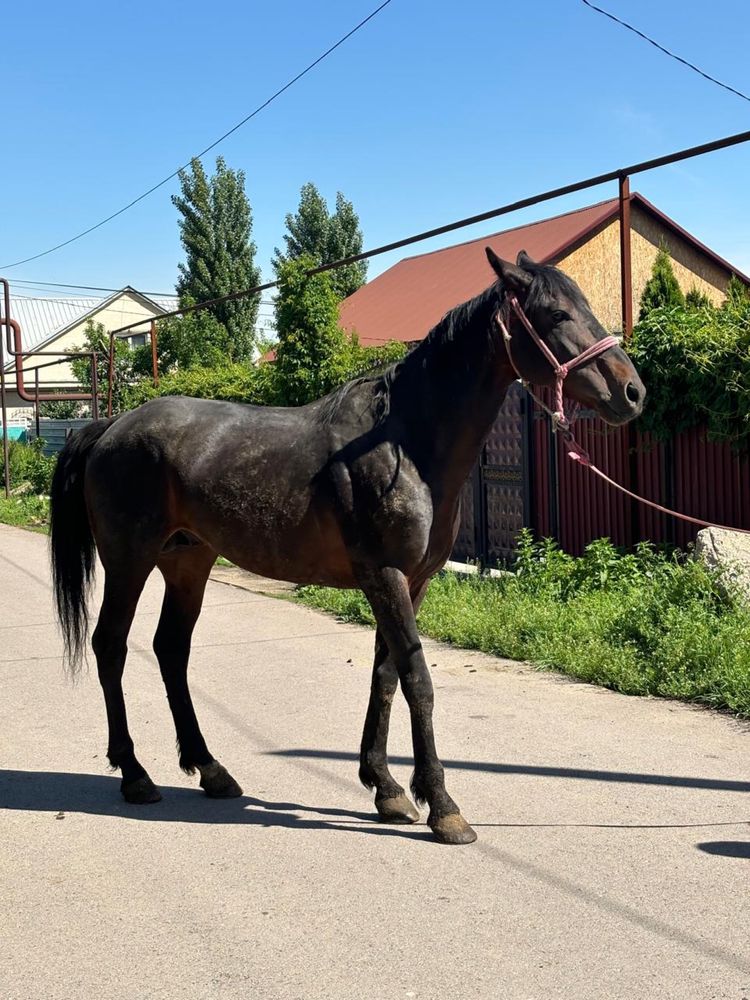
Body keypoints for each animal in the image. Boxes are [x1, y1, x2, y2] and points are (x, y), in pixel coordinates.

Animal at [50, 250, 648, 844]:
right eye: (556, 314)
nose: (633, 391)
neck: (406, 443)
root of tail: (110, 426)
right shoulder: (384, 575)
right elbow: (418, 680)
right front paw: (443, 806)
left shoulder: (412, 582)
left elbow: (386, 675)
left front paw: (386, 787)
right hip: (129, 562)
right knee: (111, 646)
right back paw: (134, 774)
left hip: (188, 562)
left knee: (171, 650)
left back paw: (211, 769)